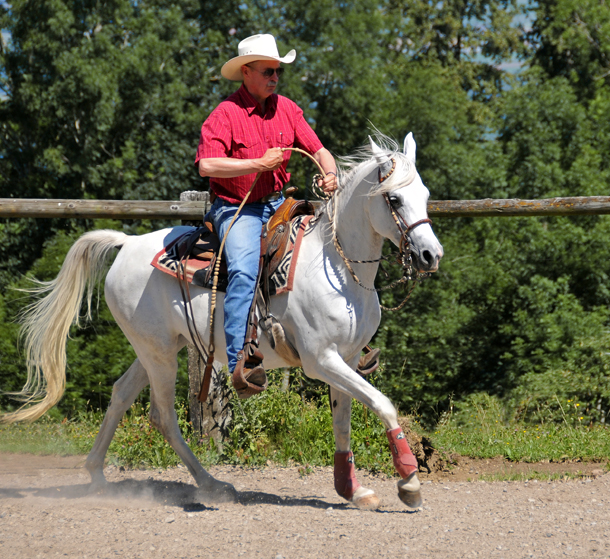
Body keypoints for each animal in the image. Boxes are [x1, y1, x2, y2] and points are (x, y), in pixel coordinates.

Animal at [5, 133, 442, 510]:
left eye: (425, 196)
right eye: (393, 198)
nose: (430, 255)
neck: (335, 265)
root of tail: (127, 244)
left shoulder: (347, 360)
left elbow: (343, 422)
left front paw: (351, 489)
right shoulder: (321, 360)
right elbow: (383, 404)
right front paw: (409, 483)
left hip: (157, 347)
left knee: (121, 393)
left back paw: (97, 474)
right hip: (159, 354)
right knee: (163, 416)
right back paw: (212, 484)